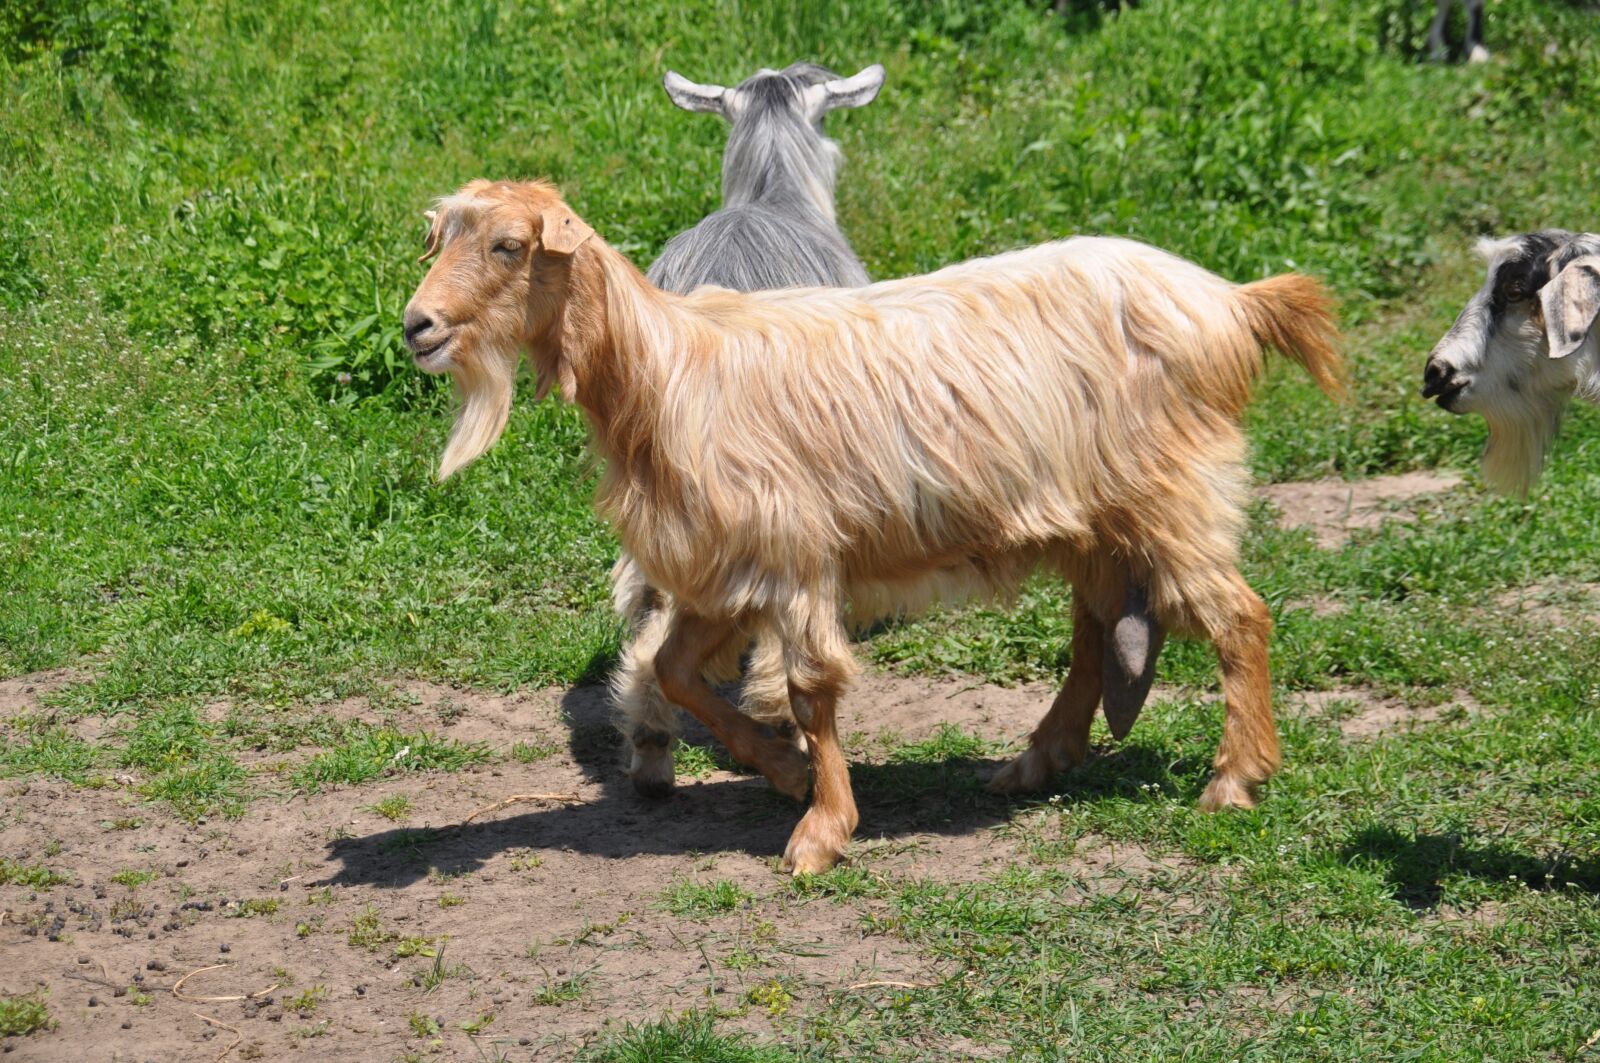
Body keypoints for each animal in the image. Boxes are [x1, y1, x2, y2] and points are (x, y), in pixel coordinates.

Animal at [402, 180, 1343, 873]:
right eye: (440, 237)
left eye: (509, 245)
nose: (417, 324)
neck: (666, 374)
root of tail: (1232, 301)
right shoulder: (721, 568)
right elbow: (673, 669)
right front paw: (784, 771)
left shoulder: (791, 557)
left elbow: (811, 687)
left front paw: (822, 830)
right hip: (1097, 522)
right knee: (1095, 632)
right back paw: (1034, 763)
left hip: (1173, 495)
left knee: (1238, 616)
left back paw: (1234, 780)